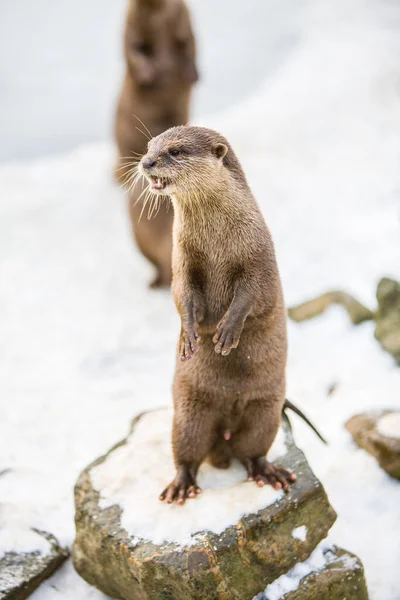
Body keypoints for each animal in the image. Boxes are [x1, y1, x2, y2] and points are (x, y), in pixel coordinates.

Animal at [115, 0, 198, 288]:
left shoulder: (184, 19)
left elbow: (189, 43)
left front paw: (192, 73)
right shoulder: (132, 23)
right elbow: (133, 48)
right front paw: (148, 71)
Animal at [139, 125, 298, 502]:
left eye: (176, 151)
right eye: (149, 146)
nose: (147, 162)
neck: (218, 244)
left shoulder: (259, 257)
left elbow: (251, 295)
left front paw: (226, 332)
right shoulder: (182, 259)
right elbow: (182, 294)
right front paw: (189, 336)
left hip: (267, 409)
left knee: (254, 449)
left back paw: (268, 473)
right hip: (188, 411)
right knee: (187, 450)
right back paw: (181, 486)